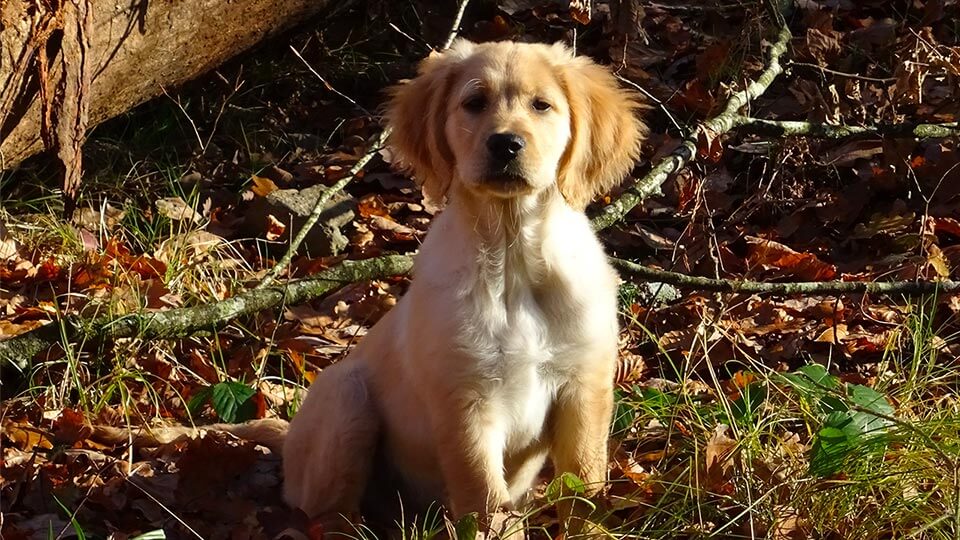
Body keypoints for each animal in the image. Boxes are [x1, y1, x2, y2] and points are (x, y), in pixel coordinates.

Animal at [284, 40, 644, 532]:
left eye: (542, 105)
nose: (505, 143)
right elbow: (487, 501)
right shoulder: (466, 402)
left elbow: (584, 486)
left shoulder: (583, 387)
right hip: (344, 396)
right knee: (327, 516)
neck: (512, 260)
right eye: (474, 103)